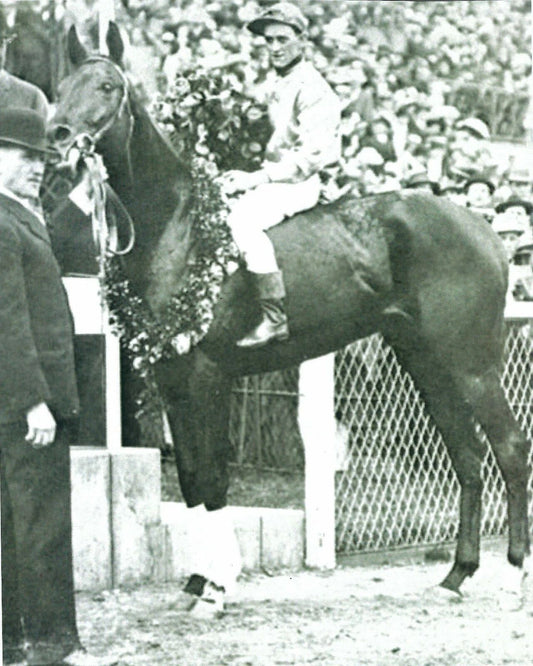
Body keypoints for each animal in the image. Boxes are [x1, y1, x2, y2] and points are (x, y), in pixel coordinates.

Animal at [49, 23, 530, 611]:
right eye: (63, 84)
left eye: (107, 86)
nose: (58, 135)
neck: (177, 225)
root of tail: (484, 228)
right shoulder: (172, 378)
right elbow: (190, 477)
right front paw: (197, 581)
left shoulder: (207, 376)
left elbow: (213, 477)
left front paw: (219, 585)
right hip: (427, 363)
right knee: (467, 453)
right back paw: (457, 573)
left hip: (472, 365)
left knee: (510, 448)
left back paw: (513, 573)